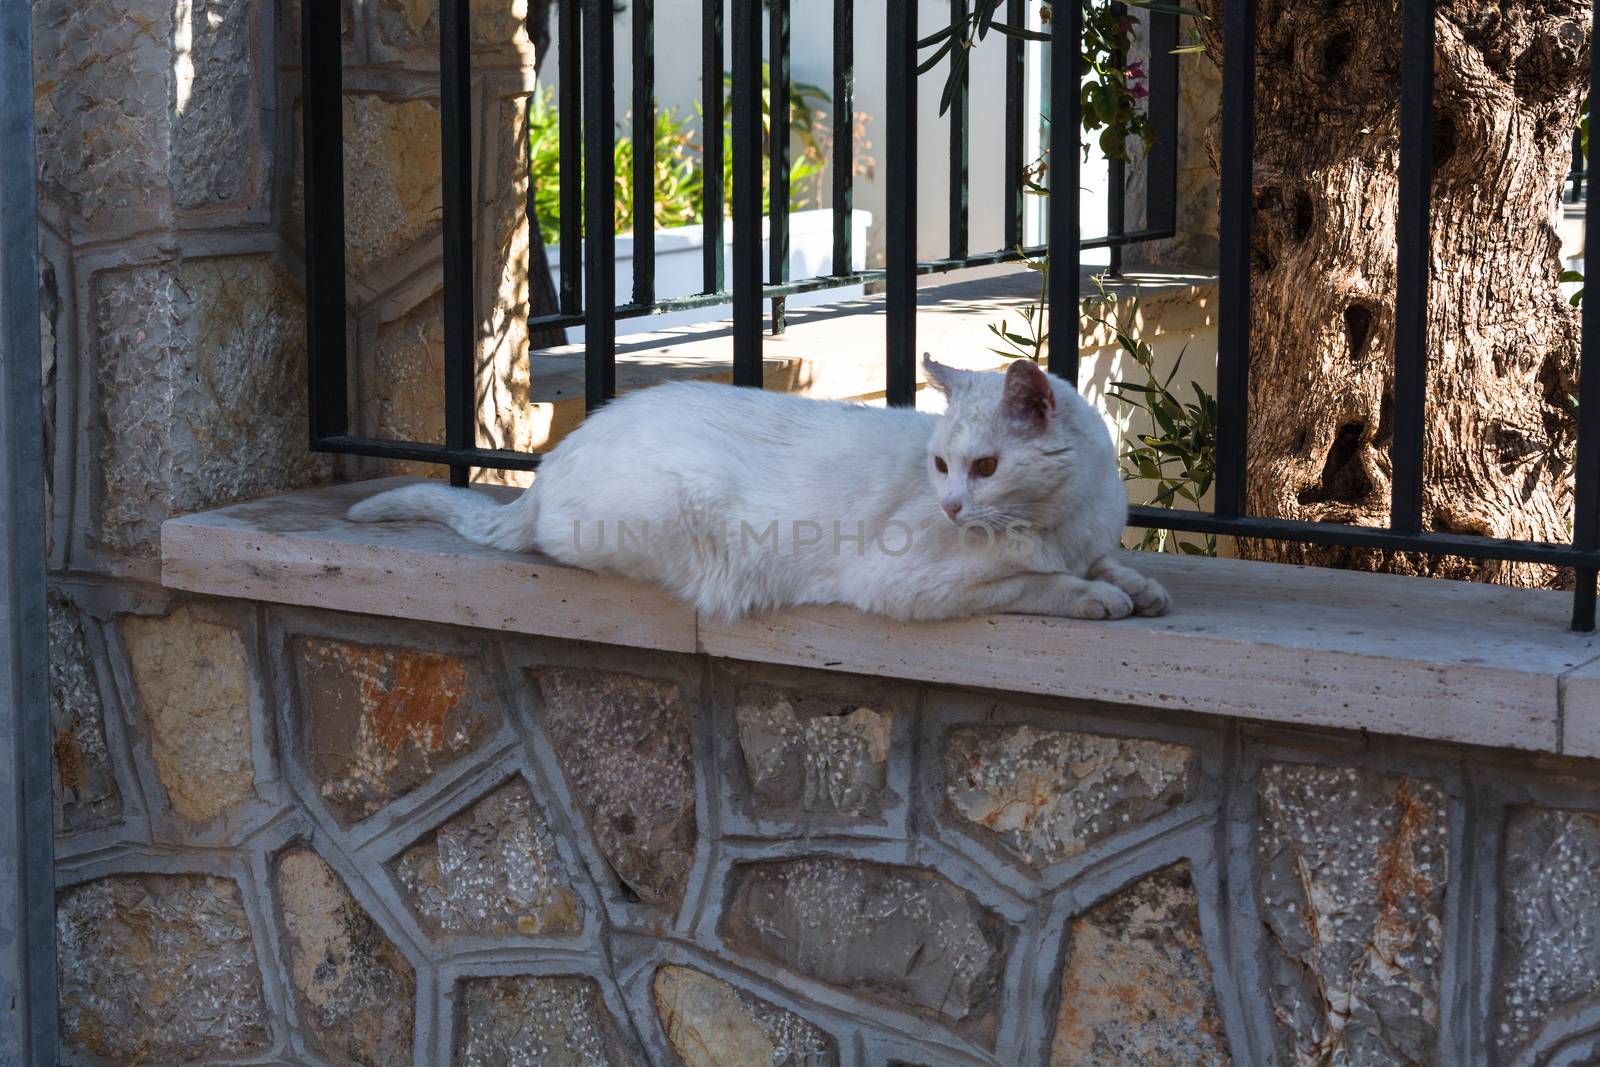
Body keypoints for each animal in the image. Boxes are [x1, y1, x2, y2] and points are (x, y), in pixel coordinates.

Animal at [350, 356, 1171, 627]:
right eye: (943, 466)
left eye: (987, 467)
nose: (950, 506)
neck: (1061, 515)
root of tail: (552, 462)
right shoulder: (906, 582)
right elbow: (1033, 580)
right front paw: (1095, 596)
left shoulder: (1087, 533)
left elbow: (1106, 560)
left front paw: (1136, 585)